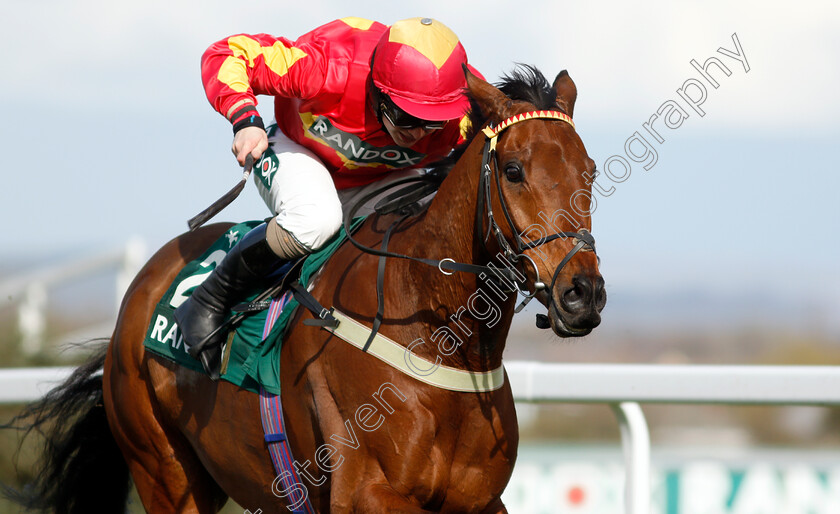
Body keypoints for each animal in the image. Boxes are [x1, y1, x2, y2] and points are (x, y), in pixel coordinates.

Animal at [9, 68, 608, 512]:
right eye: (513, 170)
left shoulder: (481, 501)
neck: (435, 335)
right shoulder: (366, 493)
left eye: (591, 171)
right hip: (165, 471)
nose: (582, 293)